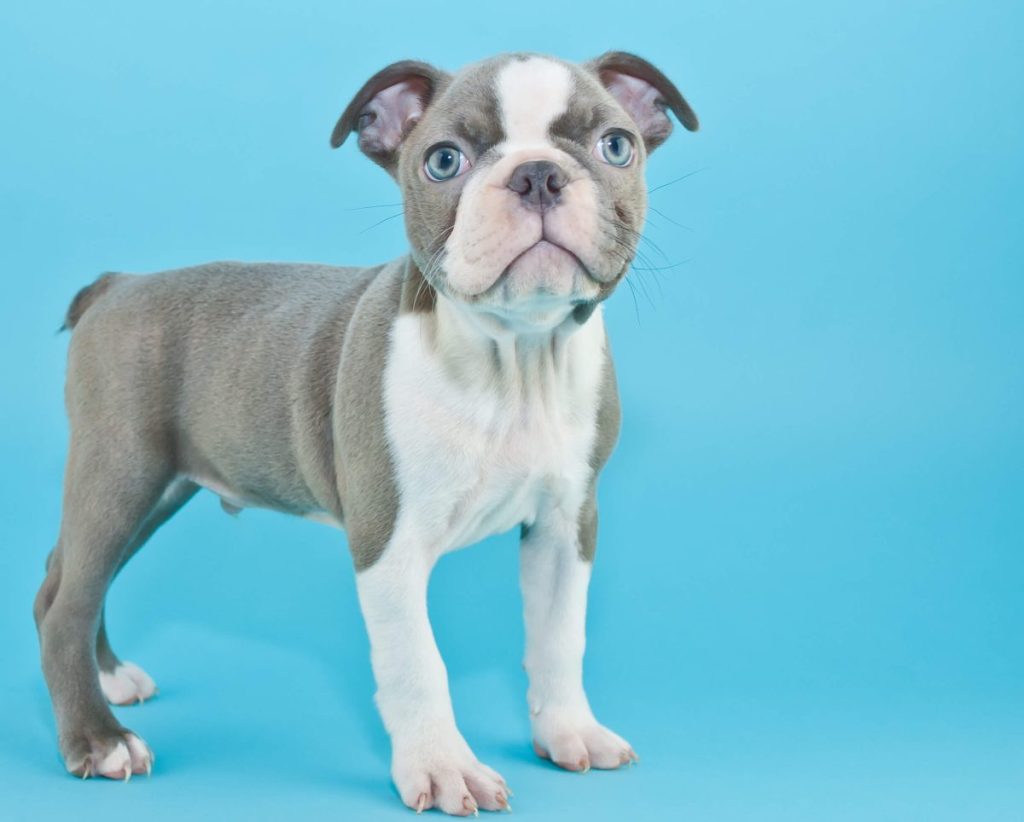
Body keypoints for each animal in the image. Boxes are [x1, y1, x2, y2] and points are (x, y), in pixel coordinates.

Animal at [36, 52, 700, 814]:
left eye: (615, 147)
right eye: (444, 161)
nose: (537, 174)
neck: (513, 361)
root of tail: (116, 286)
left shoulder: (567, 525)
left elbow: (560, 637)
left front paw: (569, 732)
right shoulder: (389, 543)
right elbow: (417, 663)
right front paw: (444, 768)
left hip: (156, 490)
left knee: (71, 576)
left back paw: (111, 677)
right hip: (121, 473)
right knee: (65, 604)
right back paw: (97, 740)